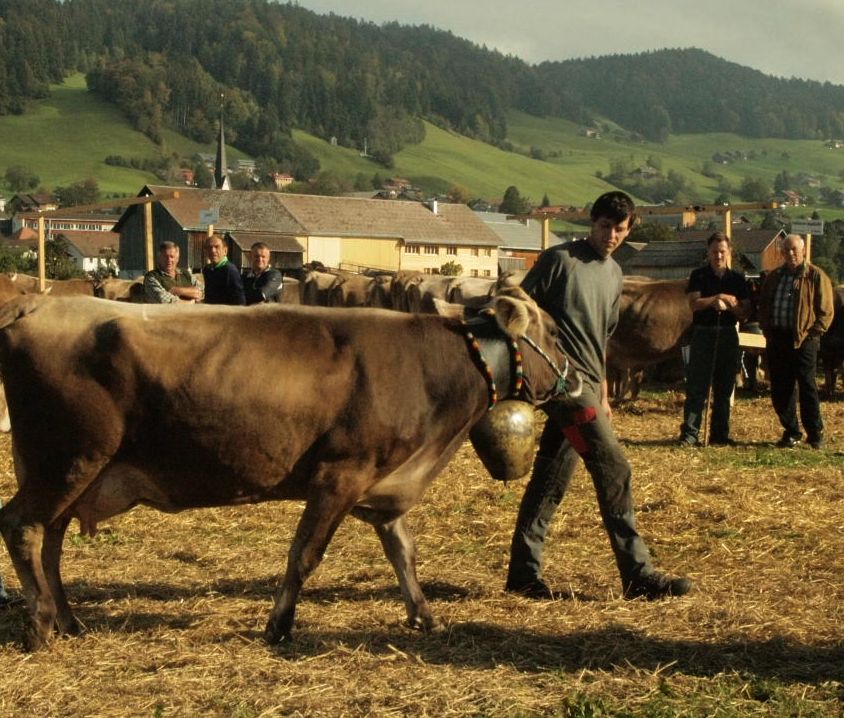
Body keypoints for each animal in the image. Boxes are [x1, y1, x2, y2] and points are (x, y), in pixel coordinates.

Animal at [0, 288, 579, 650]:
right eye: (553, 331)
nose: (577, 376)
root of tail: (36, 304)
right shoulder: (338, 475)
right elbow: (304, 555)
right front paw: (279, 625)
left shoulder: (386, 486)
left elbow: (404, 554)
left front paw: (424, 614)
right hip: (68, 459)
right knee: (23, 526)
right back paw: (41, 625)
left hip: (69, 471)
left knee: (50, 539)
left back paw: (68, 618)